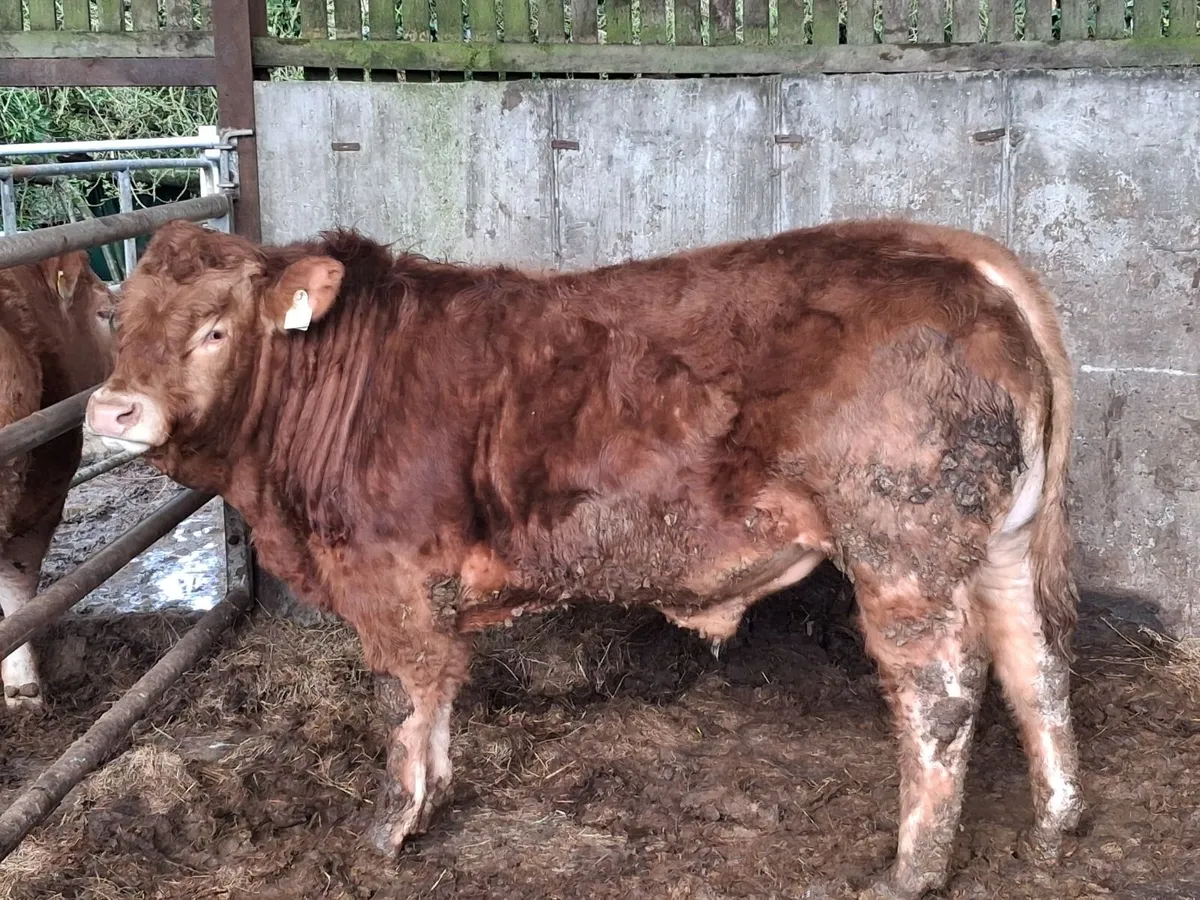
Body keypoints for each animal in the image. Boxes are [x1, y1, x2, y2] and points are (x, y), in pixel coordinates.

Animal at [85, 218, 1082, 899]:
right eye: (117, 322)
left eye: (216, 328)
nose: (112, 409)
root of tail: (950, 250)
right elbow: (440, 698)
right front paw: (435, 799)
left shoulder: (392, 578)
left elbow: (405, 700)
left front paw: (391, 829)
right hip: (1000, 542)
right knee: (1035, 664)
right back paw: (1057, 819)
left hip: (901, 546)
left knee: (942, 692)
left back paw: (911, 871)